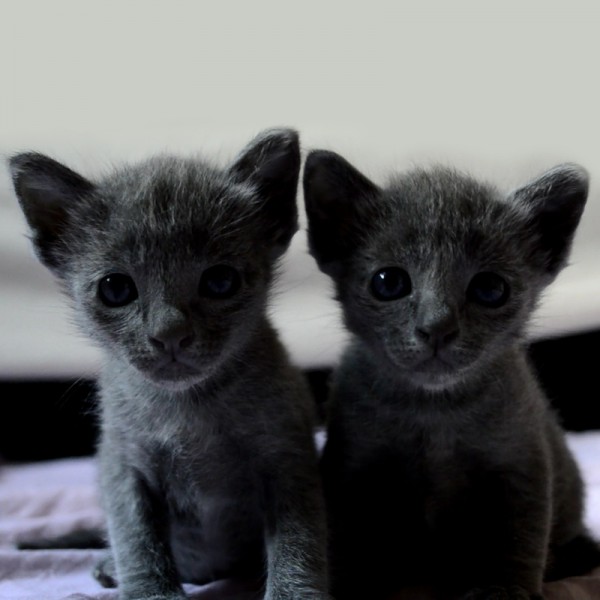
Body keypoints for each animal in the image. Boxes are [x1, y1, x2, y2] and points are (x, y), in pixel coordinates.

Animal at [9, 128, 331, 600]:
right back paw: (108, 566)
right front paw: (150, 591)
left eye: (220, 281)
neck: (189, 408)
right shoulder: (122, 463)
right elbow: (137, 541)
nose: (169, 334)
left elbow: (298, 543)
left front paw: (292, 593)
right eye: (115, 289)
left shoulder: (287, 456)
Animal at [302, 149, 600, 600]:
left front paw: (502, 590)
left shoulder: (522, 463)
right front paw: (348, 587)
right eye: (388, 282)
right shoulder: (350, 471)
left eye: (490, 289)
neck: (433, 410)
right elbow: (345, 540)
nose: (437, 328)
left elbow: (516, 536)